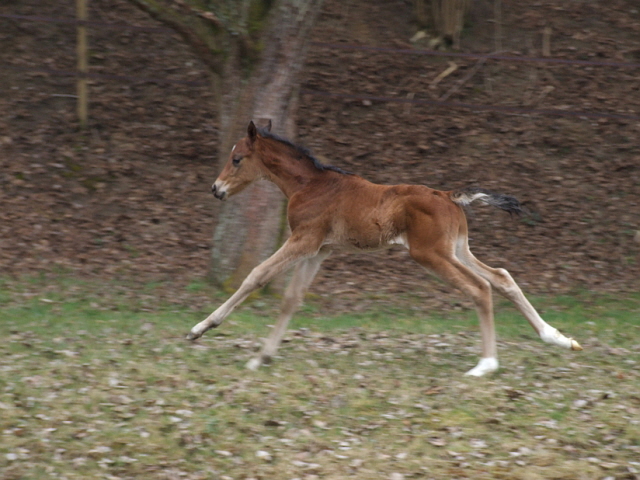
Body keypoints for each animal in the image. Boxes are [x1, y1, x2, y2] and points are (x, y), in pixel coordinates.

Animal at [188, 120, 584, 376]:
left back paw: (486, 364)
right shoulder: (320, 249)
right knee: (501, 277)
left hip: (429, 253)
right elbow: (291, 299)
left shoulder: (303, 239)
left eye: (237, 158)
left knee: (479, 287)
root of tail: (449, 196)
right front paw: (262, 358)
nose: (216, 189)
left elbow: (255, 275)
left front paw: (201, 328)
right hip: (457, 249)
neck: (309, 184)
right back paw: (557, 339)